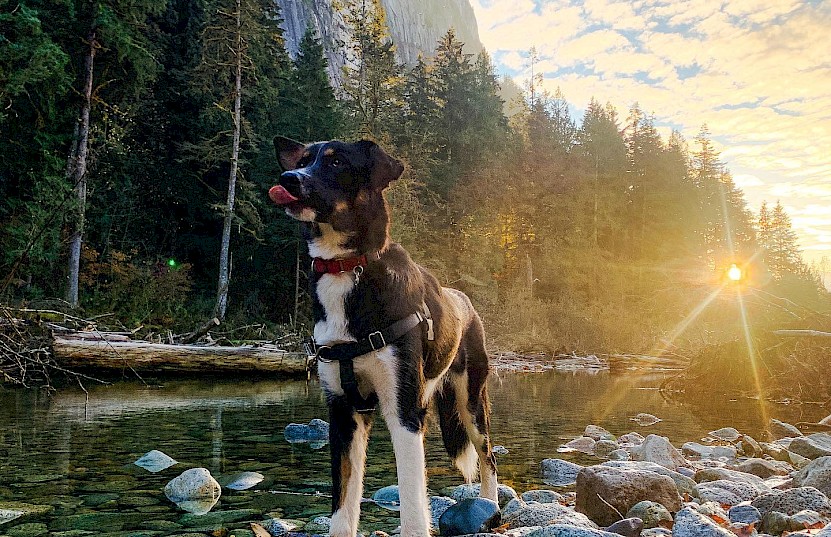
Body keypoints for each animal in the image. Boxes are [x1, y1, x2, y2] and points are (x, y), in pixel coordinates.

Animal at [270, 137, 498, 536]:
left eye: (336, 162)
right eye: (304, 159)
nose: (288, 178)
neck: (346, 267)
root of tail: (465, 300)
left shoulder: (404, 411)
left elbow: (412, 502)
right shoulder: (343, 414)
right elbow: (343, 502)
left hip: (471, 400)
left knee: (489, 457)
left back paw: (492, 506)